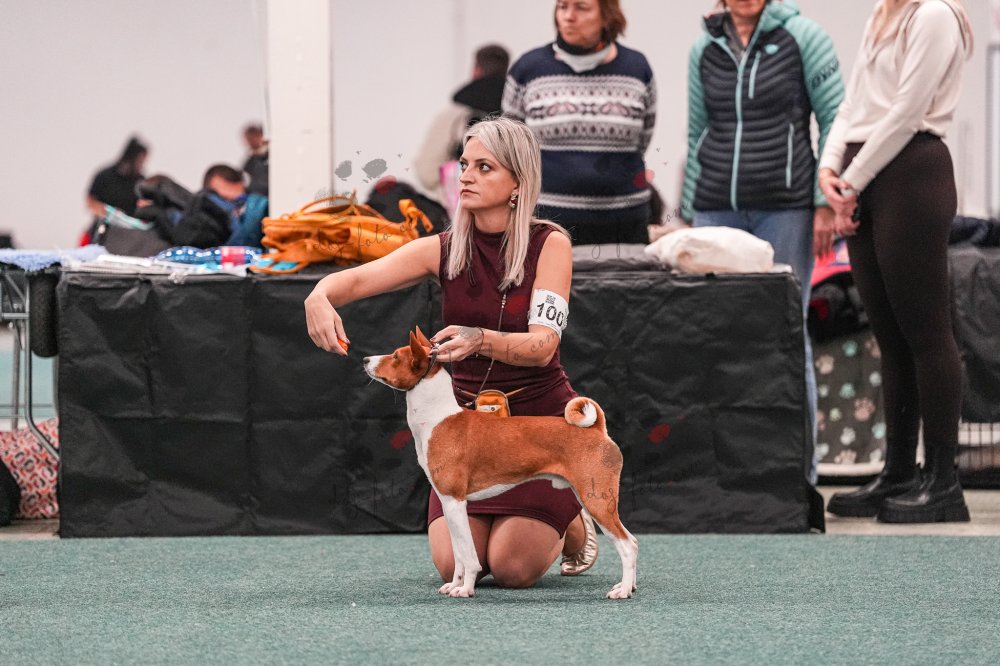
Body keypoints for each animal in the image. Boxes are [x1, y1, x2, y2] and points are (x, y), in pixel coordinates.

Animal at [363, 327, 638, 599]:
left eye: (396, 357)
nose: (365, 359)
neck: (437, 419)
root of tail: (598, 429)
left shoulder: (455, 501)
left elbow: (469, 557)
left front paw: (466, 589)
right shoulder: (448, 504)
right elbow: (458, 555)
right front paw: (454, 584)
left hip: (597, 499)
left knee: (626, 545)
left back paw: (623, 590)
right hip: (587, 495)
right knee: (633, 541)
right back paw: (629, 585)